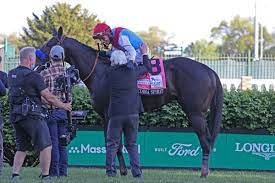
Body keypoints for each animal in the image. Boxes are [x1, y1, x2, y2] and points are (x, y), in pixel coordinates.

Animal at [39, 26, 224, 177]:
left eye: (49, 44)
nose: (37, 57)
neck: (100, 72)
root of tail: (209, 70)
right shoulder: (106, 116)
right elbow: (115, 144)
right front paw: (122, 170)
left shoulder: (109, 114)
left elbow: (114, 143)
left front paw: (115, 171)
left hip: (194, 112)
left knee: (206, 140)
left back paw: (204, 173)